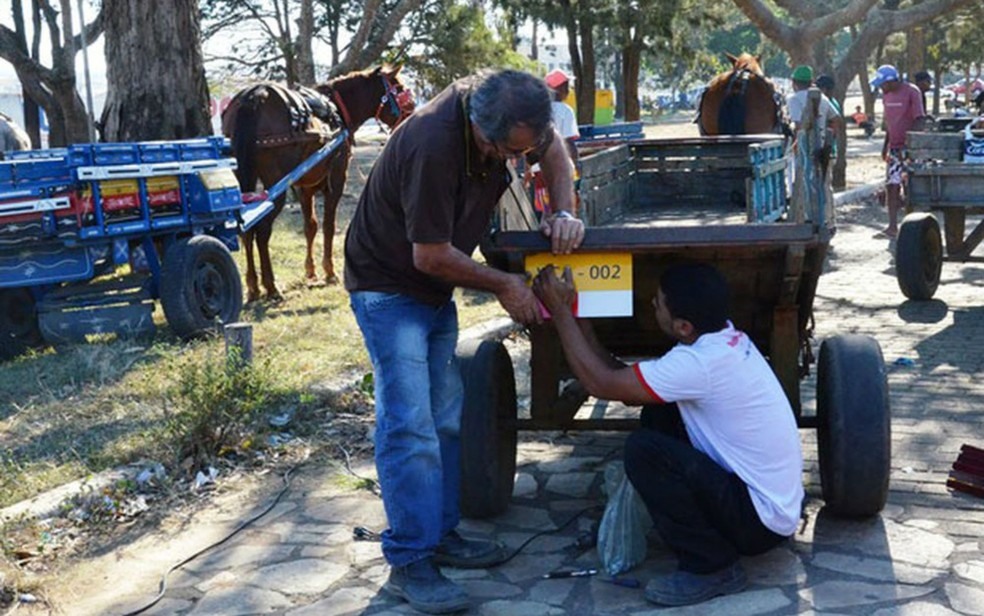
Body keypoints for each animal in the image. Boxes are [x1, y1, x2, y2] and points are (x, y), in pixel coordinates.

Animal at [221, 65, 414, 300]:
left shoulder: (304, 186)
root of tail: (253, 97)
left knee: (247, 229)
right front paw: (329, 271)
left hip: (242, 178)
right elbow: (329, 226)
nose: (412, 113)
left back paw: (253, 286)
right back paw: (271, 286)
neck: (337, 111)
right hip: (274, 184)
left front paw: (311, 271)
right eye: (400, 89)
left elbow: (310, 226)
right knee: (263, 230)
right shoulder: (336, 180)